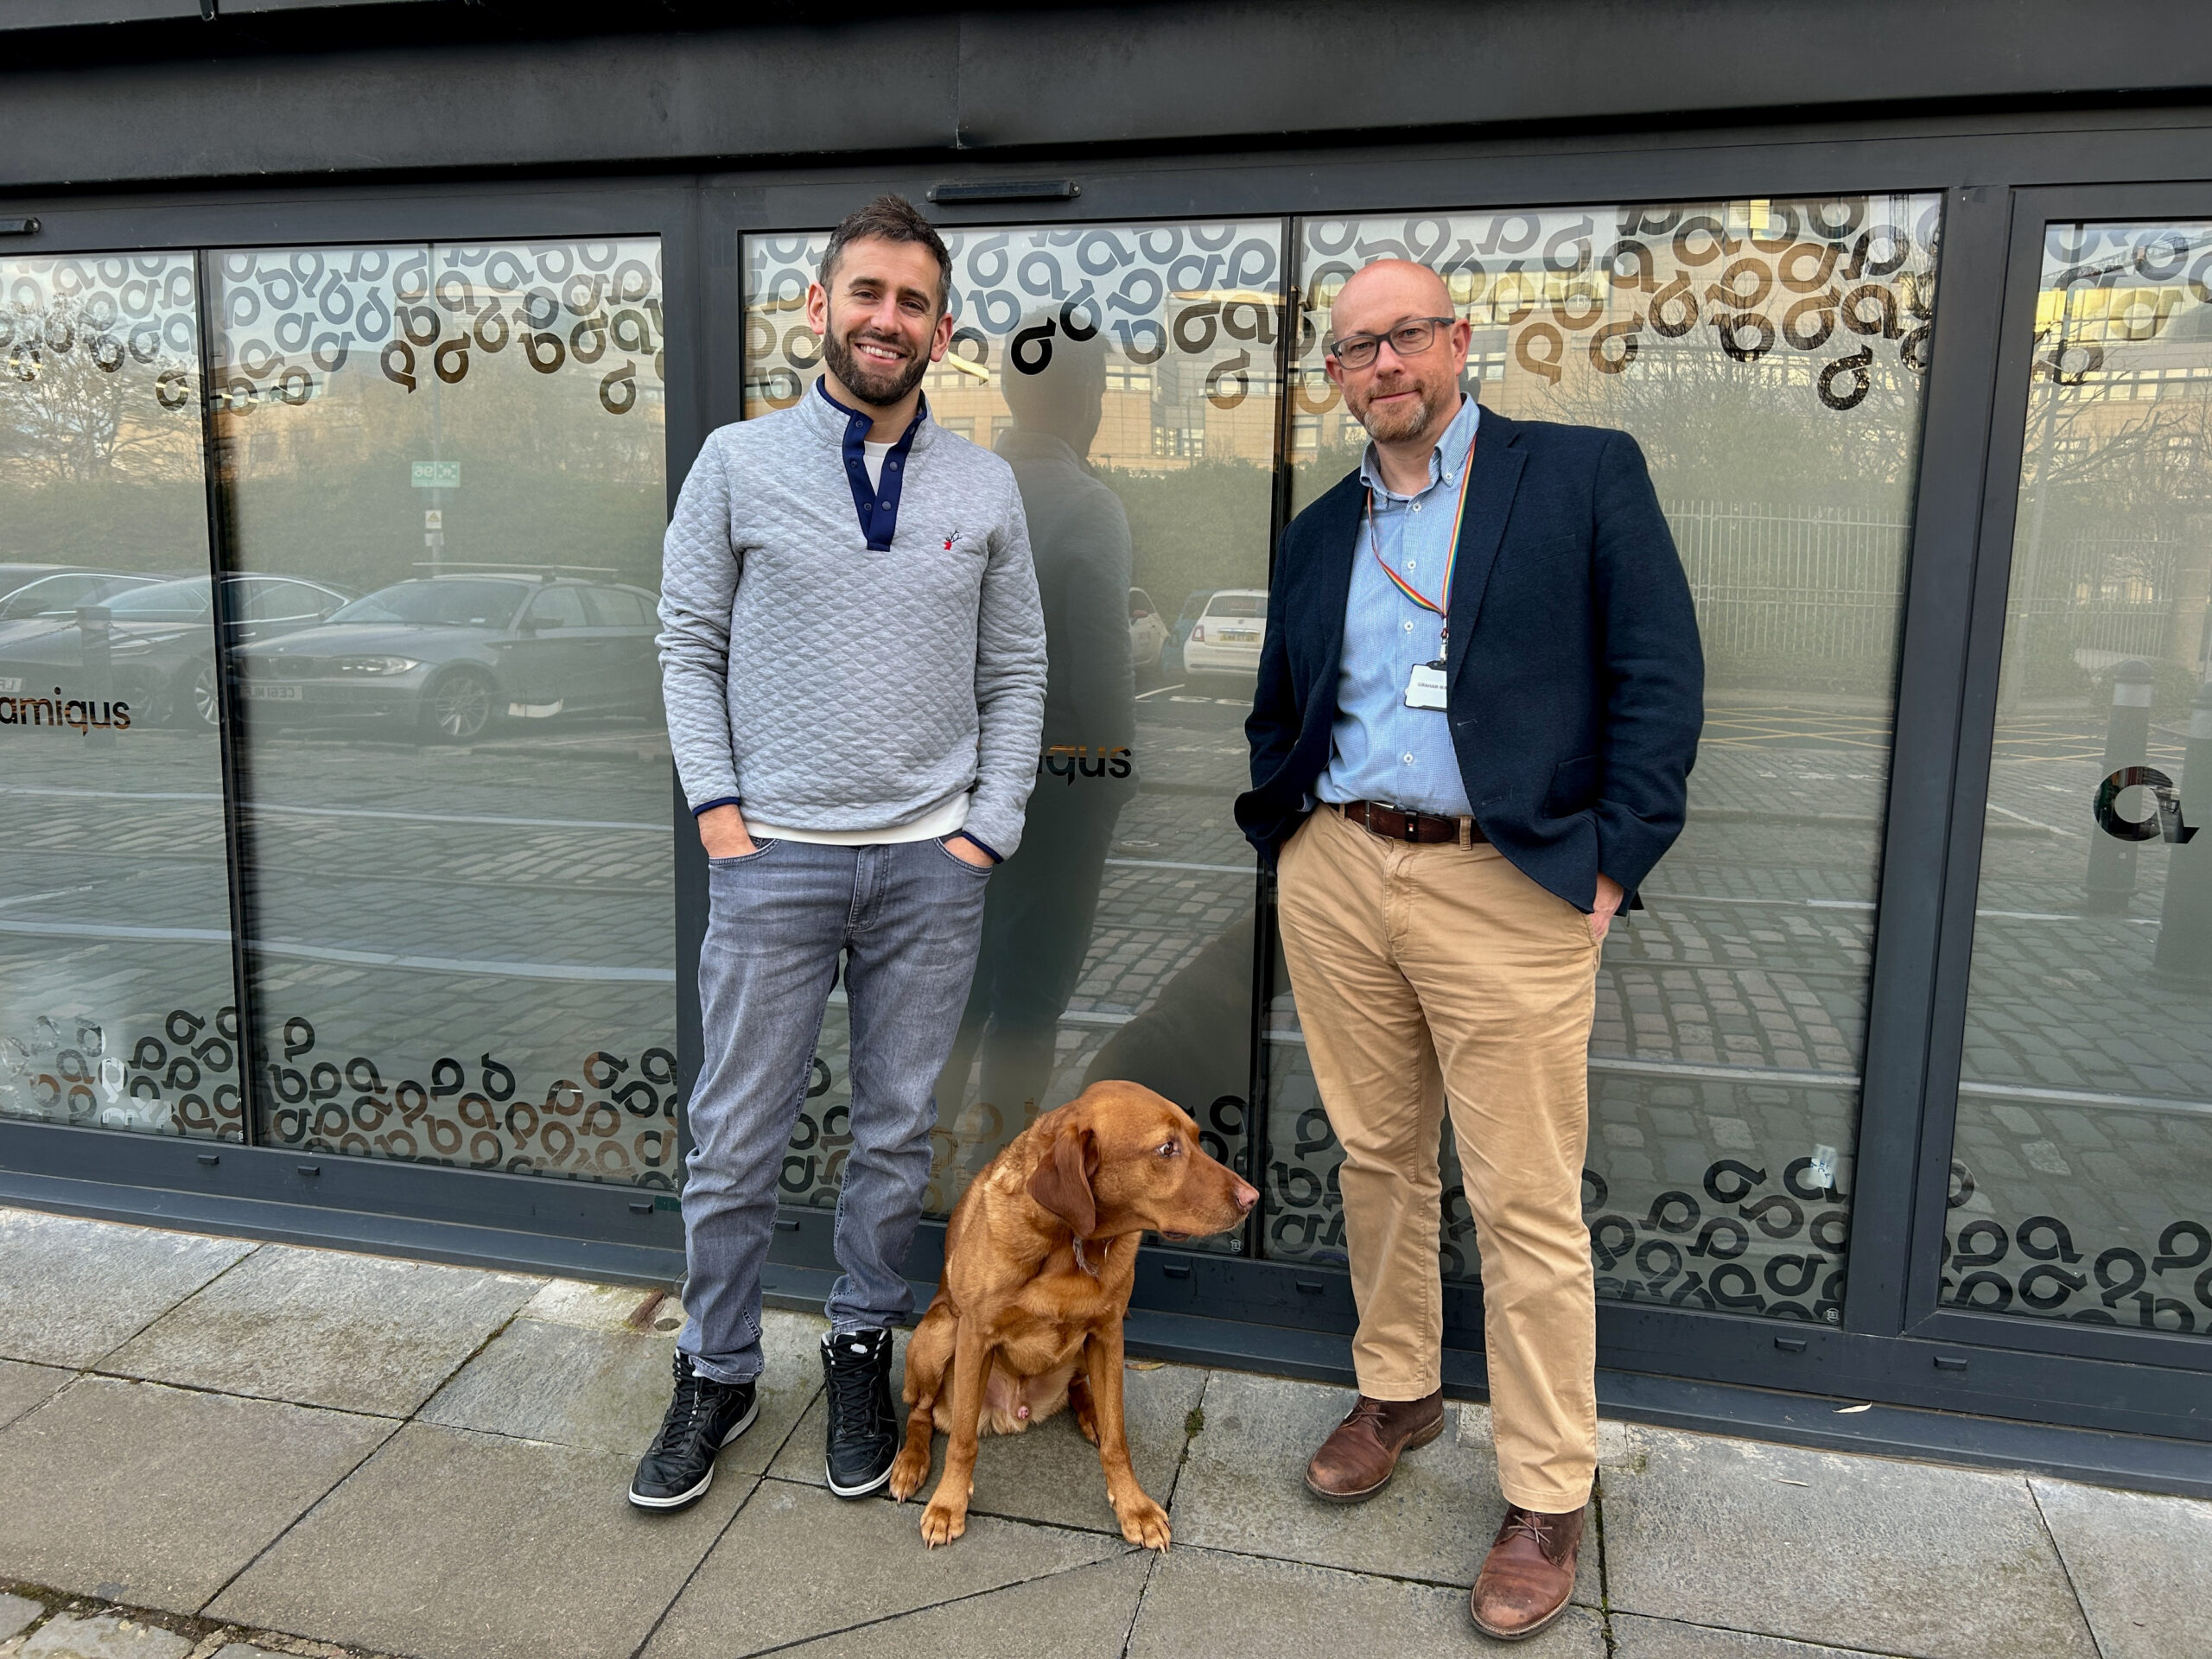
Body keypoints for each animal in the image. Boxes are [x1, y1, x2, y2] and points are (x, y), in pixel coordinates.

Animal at [885, 1084, 1265, 1557]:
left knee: (1080, 1388)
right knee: (922, 1412)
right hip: (940, 1333)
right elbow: (962, 1442)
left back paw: (1092, 1413)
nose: (1253, 1198)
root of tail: (1014, 1413)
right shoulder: (974, 1334)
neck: (1071, 1244)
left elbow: (1118, 1439)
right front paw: (947, 1505)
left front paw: (1134, 1506)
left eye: (1198, 1138)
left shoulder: (1109, 1333)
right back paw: (911, 1462)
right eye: (1167, 1148)